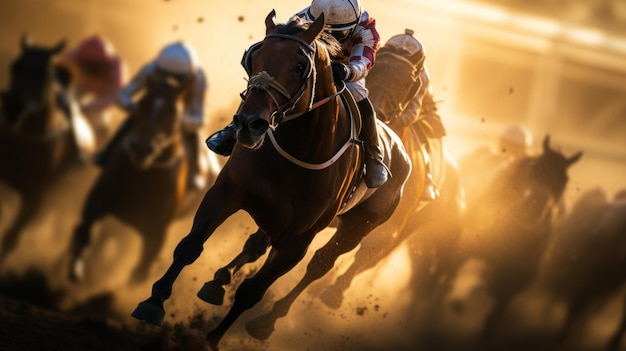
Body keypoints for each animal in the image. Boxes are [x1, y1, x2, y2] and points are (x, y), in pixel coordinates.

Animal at [67, 69, 191, 286]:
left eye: (172, 111)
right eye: (142, 103)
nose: (141, 147)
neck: (142, 179)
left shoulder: (157, 233)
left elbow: (141, 271)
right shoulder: (99, 196)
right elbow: (85, 231)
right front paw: (76, 268)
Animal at [132, 12, 410, 350]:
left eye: (300, 66)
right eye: (254, 56)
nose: (248, 124)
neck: (300, 148)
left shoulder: (298, 240)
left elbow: (254, 290)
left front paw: (212, 337)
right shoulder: (228, 191)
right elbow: (189, 246)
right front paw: (153, 303)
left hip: (358, 227)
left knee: (319, 265)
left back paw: (267, 320)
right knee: (256, 245)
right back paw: (218, 281)